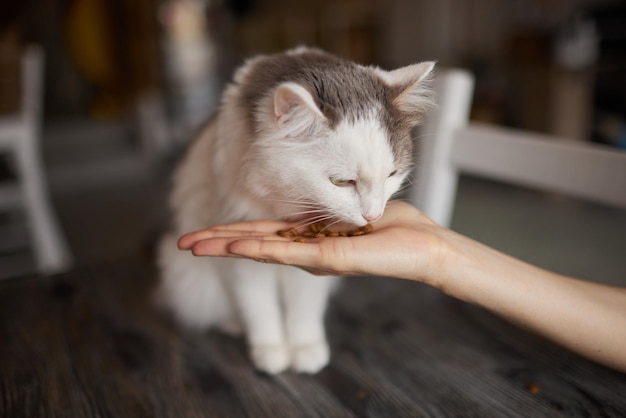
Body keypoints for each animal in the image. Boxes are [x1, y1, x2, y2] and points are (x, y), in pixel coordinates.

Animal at [158, 47, 434, 374]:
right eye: (341, 181)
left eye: (392, 174)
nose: (373, 216)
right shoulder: (241, 259)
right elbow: (258, 306)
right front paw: (270, 352)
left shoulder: (308, 273)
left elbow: (304, 308)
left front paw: (305, 349)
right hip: (187, 275)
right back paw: (234, 325)